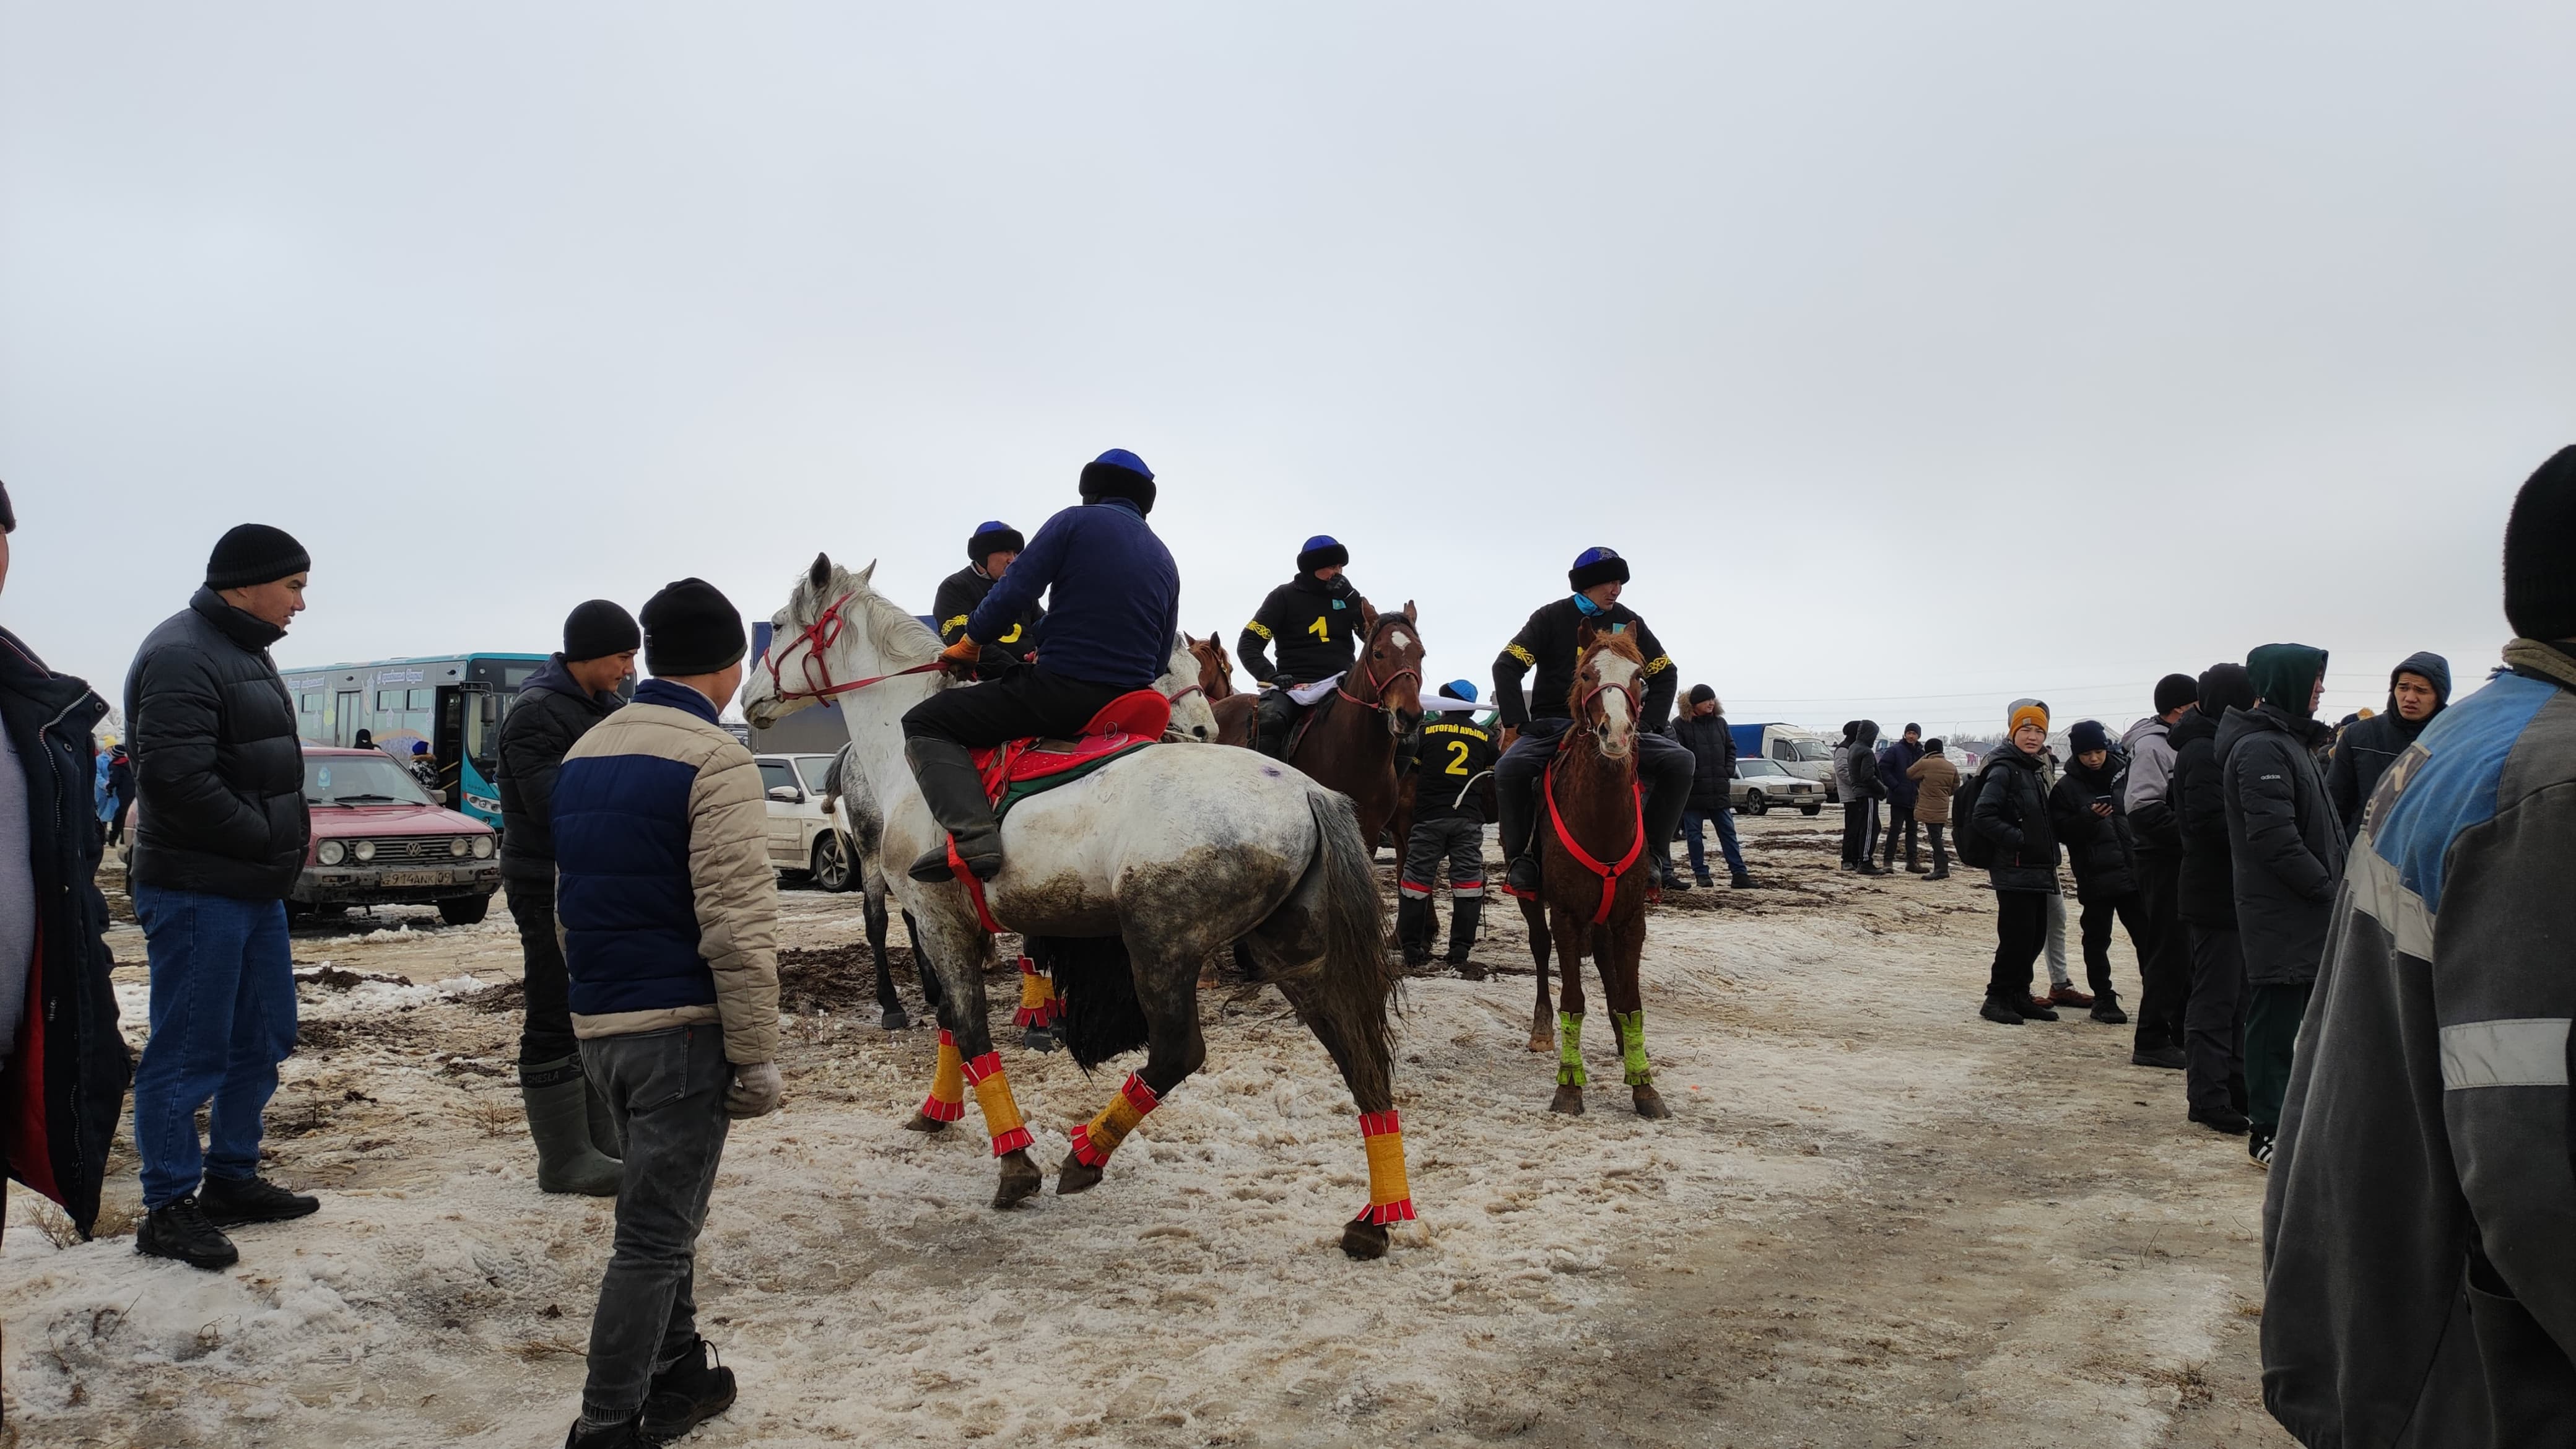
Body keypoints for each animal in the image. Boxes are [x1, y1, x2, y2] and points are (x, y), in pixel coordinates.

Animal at [736, 552, 1422, 1253]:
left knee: (1179, 1054)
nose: (748, 697)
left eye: (778, 623)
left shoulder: (938, 919)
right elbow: (954, 1021)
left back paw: (1087, 1152)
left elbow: (970, 1030)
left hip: (1160, 946)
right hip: (1294, 951)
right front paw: (937, 1111)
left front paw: (1014, 1162)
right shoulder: (954, 924)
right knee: (1357, 1052)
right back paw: (1375, 1217)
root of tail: (1307, 792)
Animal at [1504, 626, 1669, 1108]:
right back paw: (1542, 1029)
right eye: (1585, 674)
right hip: (1534, 900)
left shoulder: (1631, 917)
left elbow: (1631, 999)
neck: (1602, 819)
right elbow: (1573, 1000)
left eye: (1640, 676)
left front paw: (1643, 1084)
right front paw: (1569, 1087)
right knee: (1541, 949)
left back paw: (1620, 1040)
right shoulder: (1567, 915)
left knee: (1604, 960)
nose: (1616, 732)